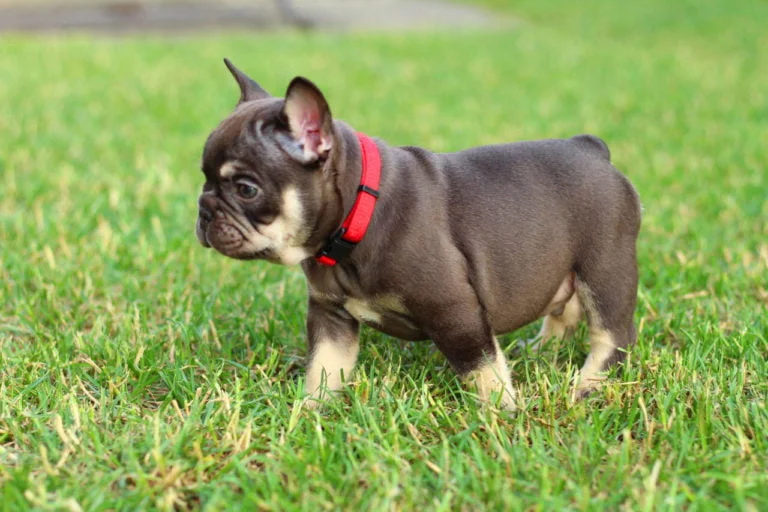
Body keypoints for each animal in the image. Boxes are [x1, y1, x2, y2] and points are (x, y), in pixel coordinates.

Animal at [195, 60, 640, 410]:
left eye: (245, 189)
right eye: (204, 177)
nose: (203, 210)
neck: (357, 216)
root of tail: (591, 148)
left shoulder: (454, 311)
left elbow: (483, 370)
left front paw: (501, 415)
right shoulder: (331, 315)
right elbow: (324, 366)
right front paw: (309, 411)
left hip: (605, 268)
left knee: (612, 335)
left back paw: (587, 385)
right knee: (564, 310)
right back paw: (543, 349)